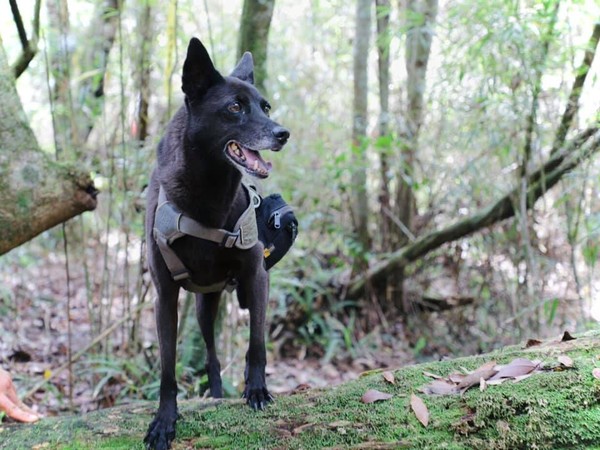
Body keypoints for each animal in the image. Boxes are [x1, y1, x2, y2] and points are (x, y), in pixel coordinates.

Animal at [143, 37, 288, 448]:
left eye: (265, 106)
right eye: (235, 107)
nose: (282, 133)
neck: (208, 193)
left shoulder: (257, 277)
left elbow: (256, 344)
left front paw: (257, 390)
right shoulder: (164, 295)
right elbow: (167, 368)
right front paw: (164, 420)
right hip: (202, 308)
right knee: (211, 355)